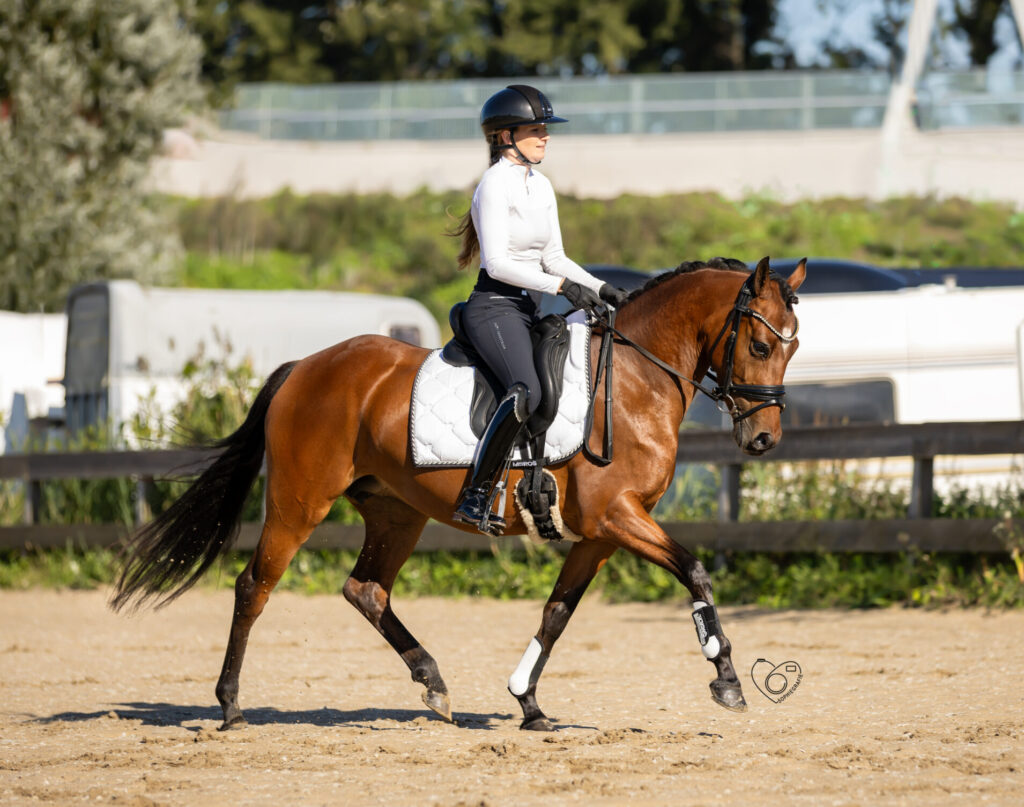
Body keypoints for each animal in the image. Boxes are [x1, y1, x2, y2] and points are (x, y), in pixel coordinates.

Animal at [111, 255, 806, 732]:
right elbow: (695, 571)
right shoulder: (617, 516)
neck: (635, 379)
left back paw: (434, 683)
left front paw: (528, 703)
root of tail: (303, 367)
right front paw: (726, 677)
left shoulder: (601, 533)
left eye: (793, 346)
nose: (764, 438)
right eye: (761, 343)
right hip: (299, 502)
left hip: (396, 513)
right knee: (254, 586)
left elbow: (558, 612)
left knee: (366, 589)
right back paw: (230, 706)